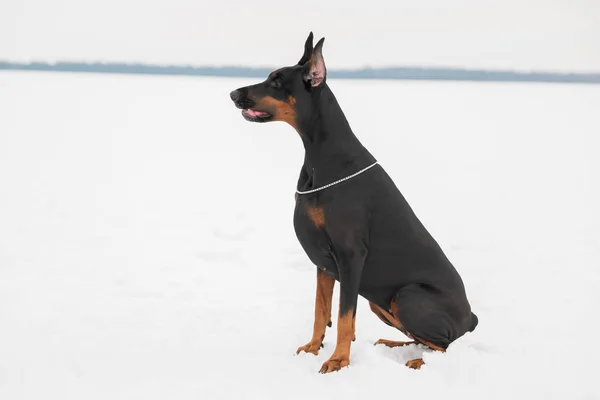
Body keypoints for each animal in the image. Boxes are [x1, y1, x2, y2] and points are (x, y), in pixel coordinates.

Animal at [230, 32, 478, 374]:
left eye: (277, 81)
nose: (232, 93)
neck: (322, 156)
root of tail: (471, 318)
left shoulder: (350, 255)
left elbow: (345, 316)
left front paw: (338, 361)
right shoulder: (324, 263)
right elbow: (321, 310)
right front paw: (313, 347)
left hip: (407, 295)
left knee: (442, 346)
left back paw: (415, 361)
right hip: (380, 301)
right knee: (421, 338)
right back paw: (391, 344)